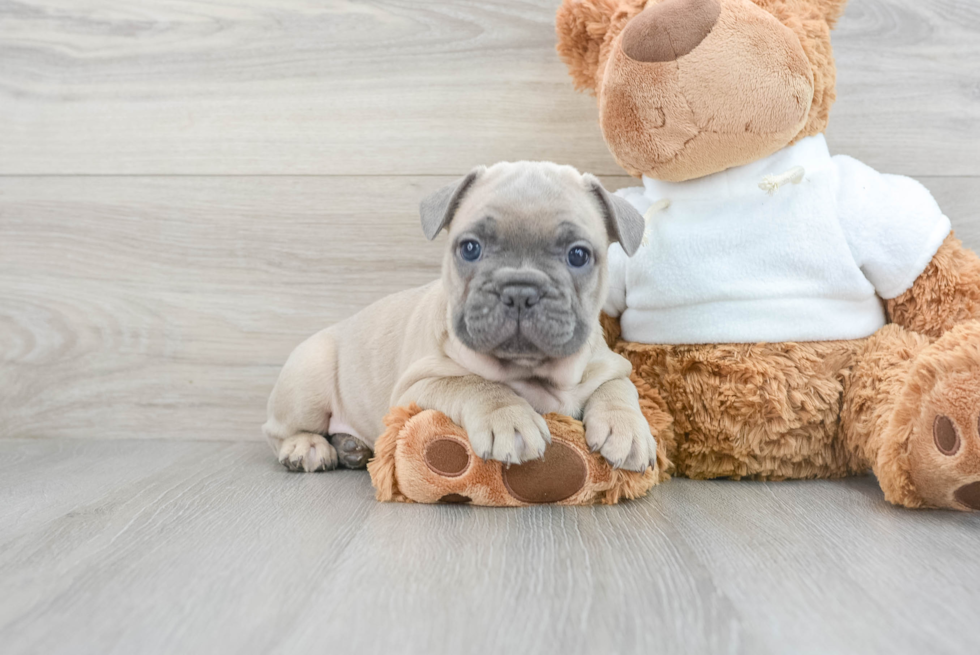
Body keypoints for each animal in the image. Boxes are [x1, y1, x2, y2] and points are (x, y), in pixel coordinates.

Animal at [264, 162, 656, 474]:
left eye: (578, 255)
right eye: (470, 248)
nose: (519, 290)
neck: (531, 371)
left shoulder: (610, 366)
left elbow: (619, 389)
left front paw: (627, 429)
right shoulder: (416, 387)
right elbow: (473, 383)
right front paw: (508, 417)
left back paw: (351, 447)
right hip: (307, 382)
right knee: (276, 430)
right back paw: (307, 447)